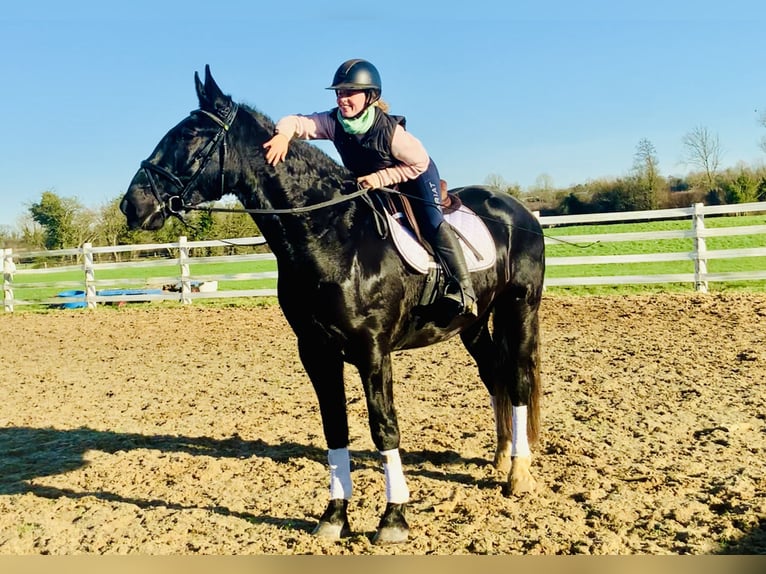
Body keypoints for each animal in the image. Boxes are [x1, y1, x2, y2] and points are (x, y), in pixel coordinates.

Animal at [120, 65, 544, 548]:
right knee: (494, 374)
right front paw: (335, 516)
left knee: (517, 380)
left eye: (191, 135)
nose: (132, 205)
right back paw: (501, 456)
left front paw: (393, 518)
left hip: (520, 309)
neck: (330, 234)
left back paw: (519, 473)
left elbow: (384, 427)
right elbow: (335, 428)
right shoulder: (316, 352)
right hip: (472, 323)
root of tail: (518, 211)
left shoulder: (373, 353)